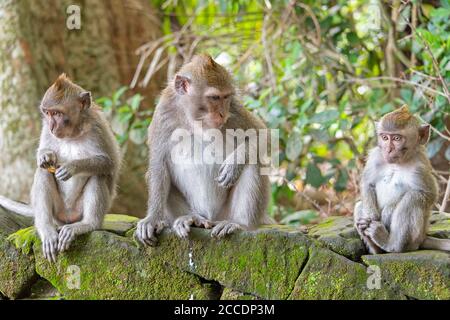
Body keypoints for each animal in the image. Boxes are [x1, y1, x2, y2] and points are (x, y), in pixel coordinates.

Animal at [0, 74, 121, 262]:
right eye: (47, 113)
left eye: (57, 113)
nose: (51, 126)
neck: (73, 133)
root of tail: (68, 218)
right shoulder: (45, 129)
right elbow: (43, 160)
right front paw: (45, 156)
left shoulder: (98, 127)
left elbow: (109, 163)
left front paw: (72, 166)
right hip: (58, 213)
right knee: (43, 173)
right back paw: (46, 229)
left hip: (78, 212)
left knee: (98, 174)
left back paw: (87, 224)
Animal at [135, 54, 270, 245]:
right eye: (214, 97)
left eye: (226, 97)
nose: (222, 114)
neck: (194, 119)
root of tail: (211, 218)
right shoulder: (163, 114)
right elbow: (158, 164)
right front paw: (152, 219)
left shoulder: (234, 110)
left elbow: (262, 134)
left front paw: (234, 163)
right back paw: (191, 219)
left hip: (225, 213)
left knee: (253, 161)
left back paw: (239, 223)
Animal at [356, 106, 450, 254]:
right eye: (384, 137)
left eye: (396, 138)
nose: (388, 149)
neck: (398, 163)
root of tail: (423, 237)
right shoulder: (376, 156)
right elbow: (367, 183)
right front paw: (371, 216)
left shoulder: (419, 168)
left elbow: (429, 194)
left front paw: (388, 211)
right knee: (359, 204)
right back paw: (375, 246)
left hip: (416, 237)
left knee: (414, 197)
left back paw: (391, 244)